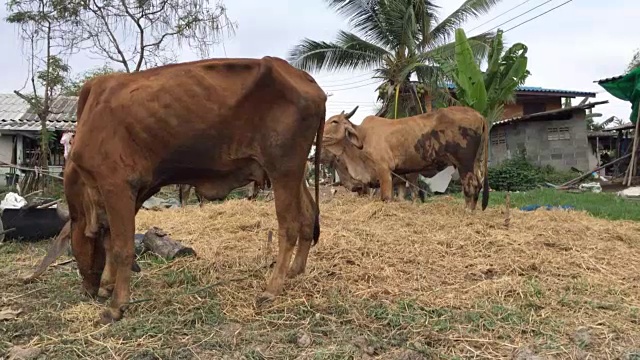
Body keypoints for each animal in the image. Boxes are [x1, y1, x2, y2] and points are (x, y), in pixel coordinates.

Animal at [322, 105, 488, 210]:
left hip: (464, 164)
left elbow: (386, 197)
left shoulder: (384, 170)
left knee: (471, 185)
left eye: (334, 121)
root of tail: (479, 115)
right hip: (475, 163)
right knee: (477, 184)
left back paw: (467, 211)